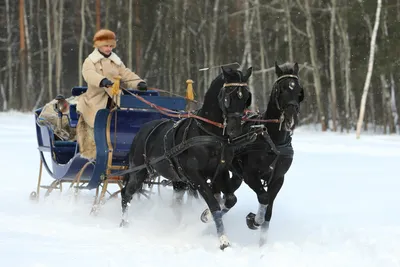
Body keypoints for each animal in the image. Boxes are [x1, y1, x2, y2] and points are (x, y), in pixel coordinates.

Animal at [119, 66, 253, 250]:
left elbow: (230, 199)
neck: (208, 134)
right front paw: (223, 240)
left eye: (246, 98)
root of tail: (142, 129)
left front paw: (205, 216)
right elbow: (213, 203)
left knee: (176, 205)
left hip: (178, 180)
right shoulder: (195, 176)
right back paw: (124, 224)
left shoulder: (221, 173)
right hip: (139, 172)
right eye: (228, 96)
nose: (235, 129)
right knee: (126, 194)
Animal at [202, 61, 304, 246]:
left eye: (299, 90)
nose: (290, 118)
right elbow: (263, 198)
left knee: (227, 193)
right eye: (281, 89)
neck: (272, 140)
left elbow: (269, 210)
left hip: (235, 174)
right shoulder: (250, 175)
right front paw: (253, 220)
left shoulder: (278, 179)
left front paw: (262, 242)